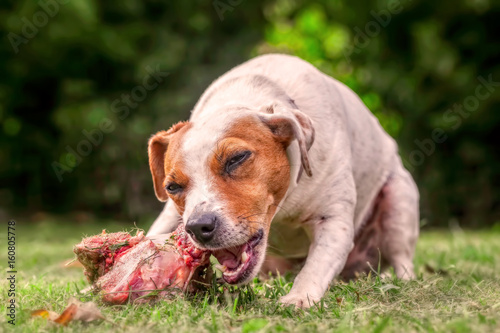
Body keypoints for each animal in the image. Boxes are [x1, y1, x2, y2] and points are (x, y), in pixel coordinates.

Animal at [146, 53, 420, 306]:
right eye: (172, 187)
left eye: (237, 158)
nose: (198, 227)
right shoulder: (170, 215)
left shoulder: (333, 220)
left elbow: (315, 267)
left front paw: (298, 298)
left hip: (398, 200)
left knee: (403, 260)